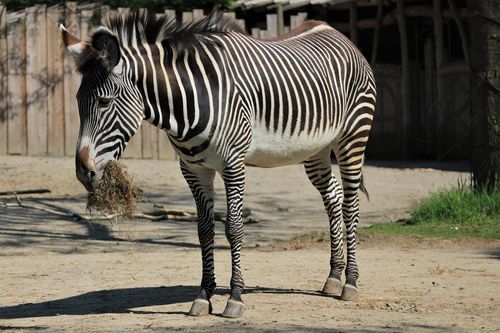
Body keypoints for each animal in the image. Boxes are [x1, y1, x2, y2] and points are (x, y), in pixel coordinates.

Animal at [60, 9, 376, 316]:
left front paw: (235, 298)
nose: (83, 172)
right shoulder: (193, 169)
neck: (189, 99)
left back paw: (350, 282)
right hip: (316, 151)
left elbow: (233, 228)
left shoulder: (233, 164)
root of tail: (335, 31)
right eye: (77, 101)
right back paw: (333, 277)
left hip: (352, 137)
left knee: (350, 206)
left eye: (104, 102)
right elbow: (204, 230)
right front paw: (204, 295)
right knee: (333, 198)